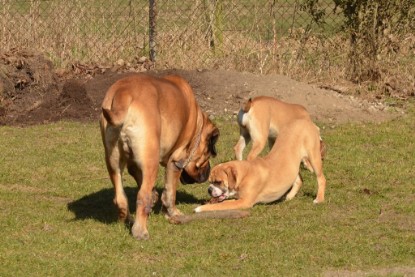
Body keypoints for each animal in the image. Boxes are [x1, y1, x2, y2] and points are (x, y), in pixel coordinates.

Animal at [100, 74, 221, 239]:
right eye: (207, 156)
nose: (208, 172)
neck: (197, 123)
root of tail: (123, 94)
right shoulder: (176, 161)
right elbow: (170, 193)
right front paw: (172, 213)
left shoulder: (134, 164)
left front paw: (154, 198)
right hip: (152, 162)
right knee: (142, 196)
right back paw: (140, 231)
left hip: (113, 161)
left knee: (120, 196)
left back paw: (126, 220)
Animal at [196, 118, 328, 211]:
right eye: (210, 182)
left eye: (218, 182)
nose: (209, 189)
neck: (245, 174)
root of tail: (308, 122)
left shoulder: (244, 202)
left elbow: (223, 204)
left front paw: (200, 208)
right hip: (293, 164)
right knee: (299, 179)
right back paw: (289, 196)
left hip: (313, 157)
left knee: (321, 178)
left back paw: (319, 199)